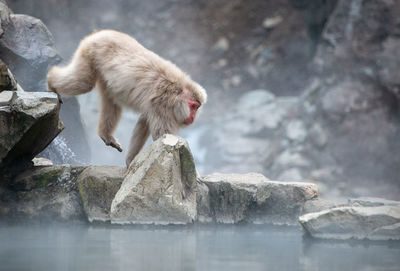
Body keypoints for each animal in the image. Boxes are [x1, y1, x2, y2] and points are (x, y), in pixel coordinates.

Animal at [47, 29, 206, 167]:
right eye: (193, 106)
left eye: (197, 107)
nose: (193, 117)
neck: (175, 90)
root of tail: (100, 33)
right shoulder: (162, 104)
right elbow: (163, 137)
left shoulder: (155, 106)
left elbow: (143, 122)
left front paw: (131, 161)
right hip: (91, 53)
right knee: (84, 83)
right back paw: (51, 82)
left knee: (111, 100)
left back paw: (106, 135)